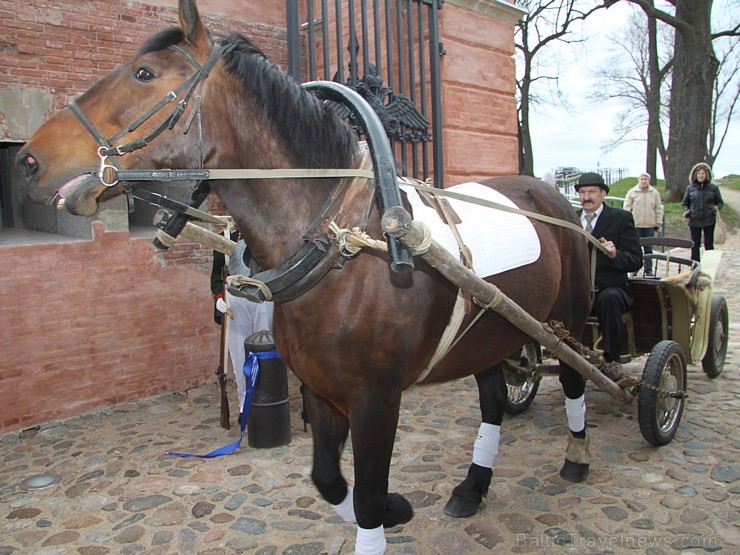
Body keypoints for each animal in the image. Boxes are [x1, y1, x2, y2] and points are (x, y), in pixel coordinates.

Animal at [17, 2, 592, 552]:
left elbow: (366, 495)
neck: (341, 247)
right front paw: (390, 509)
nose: (26, 160)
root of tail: (545, 190)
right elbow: (328, 481)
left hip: (566, 322)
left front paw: (379, 513)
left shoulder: (376, 400)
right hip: (490, 331)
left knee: (573, 378)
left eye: (143, 73)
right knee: (493, 400)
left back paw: (577, 455)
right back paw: (473, 486)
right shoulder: (320, 388)